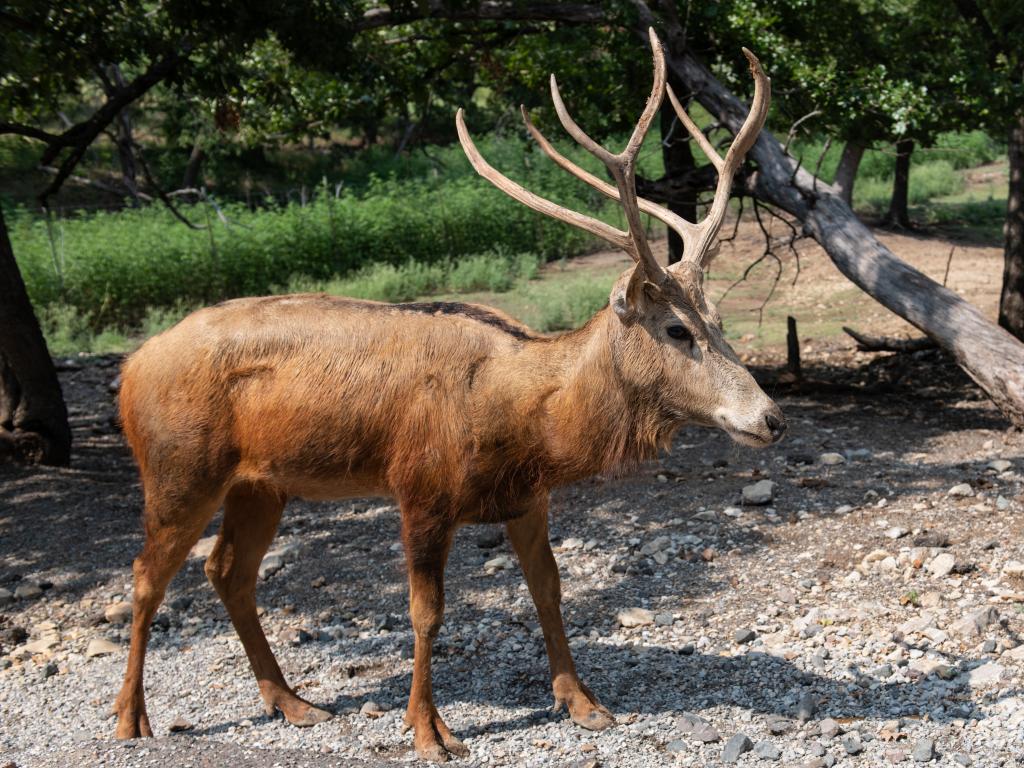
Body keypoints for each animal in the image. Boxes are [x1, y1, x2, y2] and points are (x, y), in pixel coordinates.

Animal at [114, 28, 782, 765]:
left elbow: (550, 590)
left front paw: (584, 704)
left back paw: (292, 702)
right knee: (144, 576)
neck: (526, 421)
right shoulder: (421, 488)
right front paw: (428, 729)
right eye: (676, 328)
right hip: (179, 466)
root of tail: (130, 369)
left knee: (227, 571)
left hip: (259, 484)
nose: (770, 417)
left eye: (719, 318)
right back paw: (131, 718)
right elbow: (426, 612)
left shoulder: (528, 498)